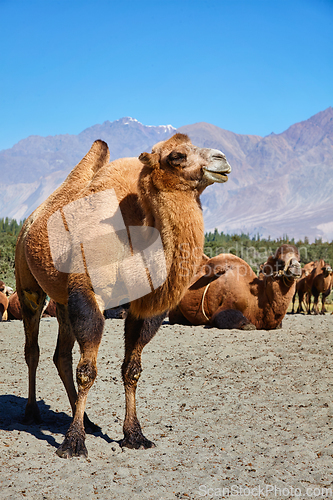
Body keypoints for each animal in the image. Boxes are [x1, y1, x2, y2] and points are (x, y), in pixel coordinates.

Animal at [14, 133, 230, 458]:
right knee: (33, 350)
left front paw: (134, 435)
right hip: (28, 285)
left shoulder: (142, 307)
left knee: (61, 355)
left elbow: (132, 370)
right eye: (176, 156)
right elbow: (87, 371)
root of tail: (30, 220)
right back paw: (31, 413)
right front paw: (73, 443)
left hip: (62, 300)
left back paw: (88, 420)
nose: (222, 159)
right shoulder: (88, 293)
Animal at [169, 244, 300, 330]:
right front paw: (247, 324)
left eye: (299, 259)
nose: (296, 267)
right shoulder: (227, 304)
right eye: (280, 261)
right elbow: (234, 320)